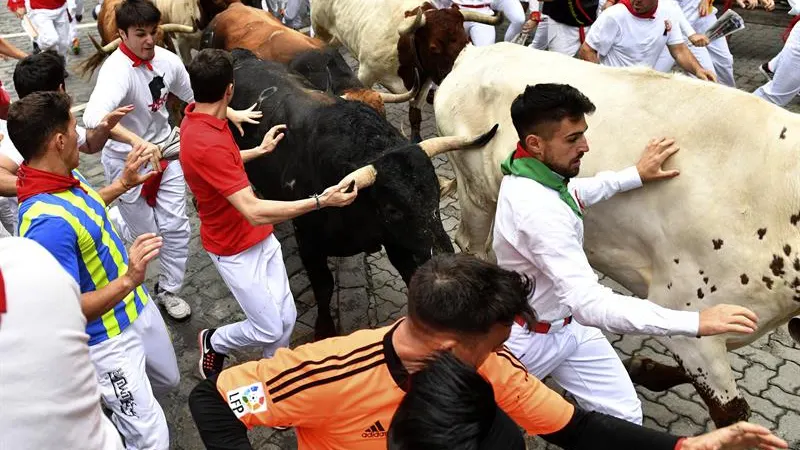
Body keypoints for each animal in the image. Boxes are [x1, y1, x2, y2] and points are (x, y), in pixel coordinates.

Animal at [227, 49, 494, 338]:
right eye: (392, 209)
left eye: (436, 195)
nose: (443, 256)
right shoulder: (307, 240)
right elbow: (324, 287)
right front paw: (324, 329)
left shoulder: (398, 242)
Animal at [438, 43, 800, 428]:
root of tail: (479, 52)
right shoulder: (689, 314)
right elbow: (733, 414)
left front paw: (642, 368)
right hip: (476, 191)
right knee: (472, 244)